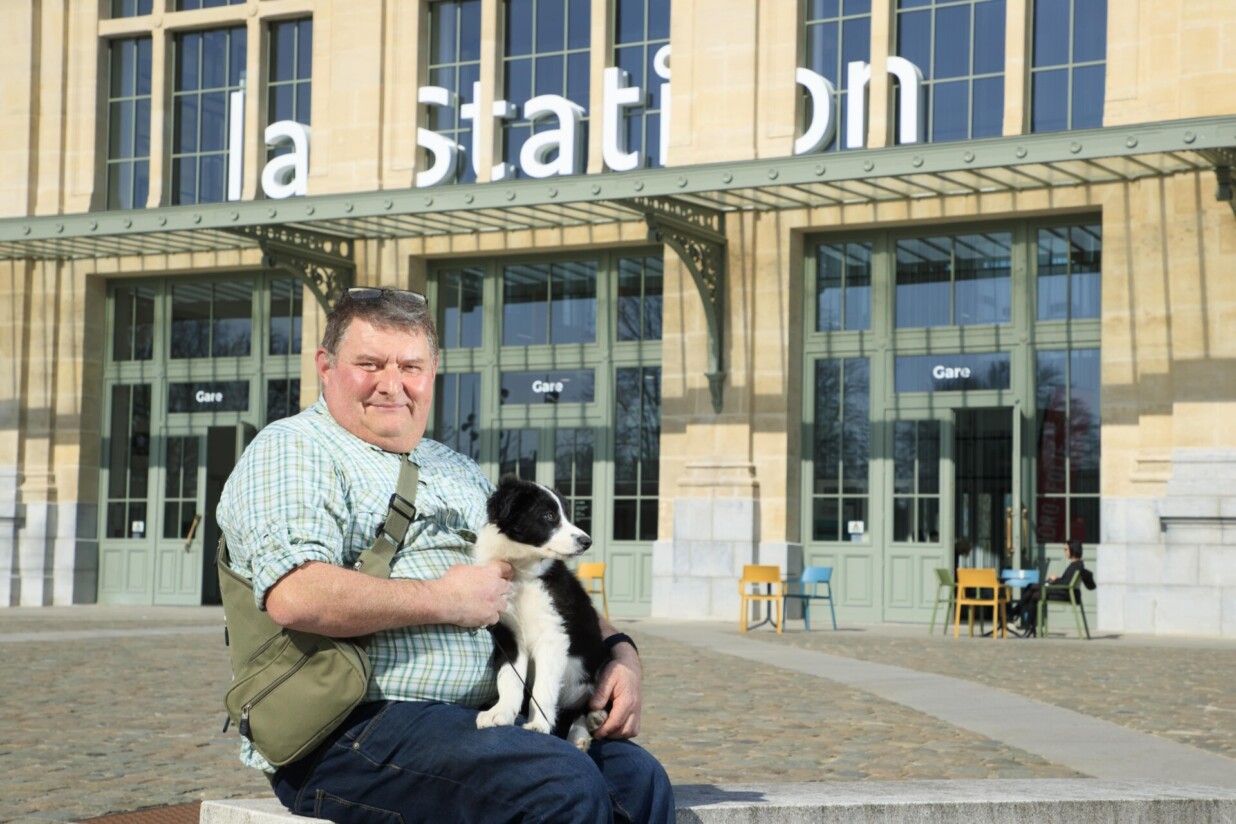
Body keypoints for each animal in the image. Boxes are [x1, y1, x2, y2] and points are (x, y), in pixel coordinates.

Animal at [469, 474, 610, 751]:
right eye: (548, 516)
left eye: (566, 514)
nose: (586, 541)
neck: (522, 572)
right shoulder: (508, 635)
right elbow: (509, 679)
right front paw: (501, 712)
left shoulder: (552, 634)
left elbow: (543, 687)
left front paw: (539, 725)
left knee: (581, 706)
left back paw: (588, 725)